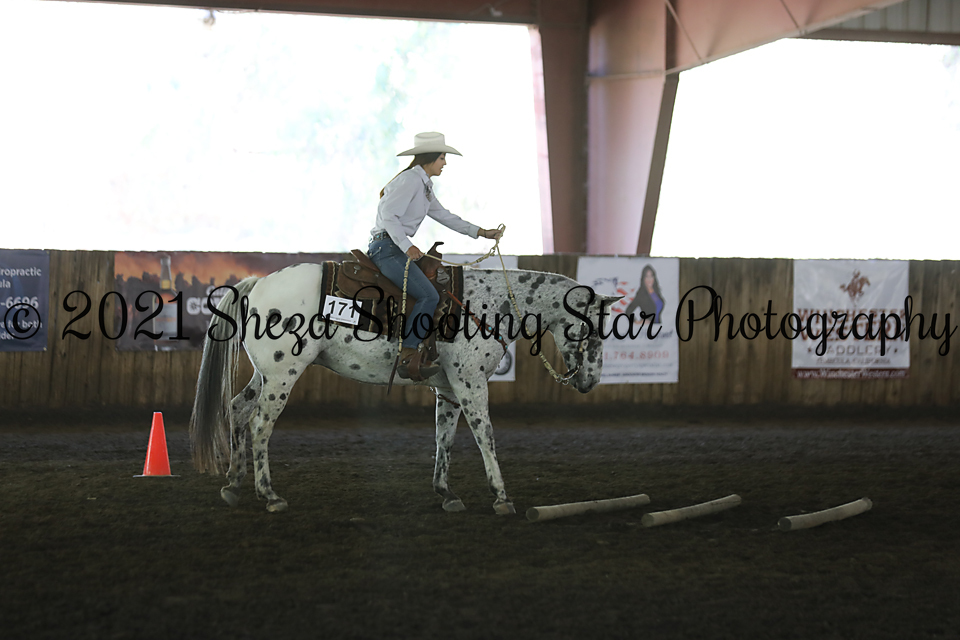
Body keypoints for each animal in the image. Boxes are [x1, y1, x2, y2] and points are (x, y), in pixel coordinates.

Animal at [189, 262, 618, 514]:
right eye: (594, 331)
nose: (590, 382)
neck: (488, 303)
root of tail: (258, 284)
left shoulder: (448, 388)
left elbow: (444, 437)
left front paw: (446, 493)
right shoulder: (470, 382)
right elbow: (486, 436)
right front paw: (500, 495)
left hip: (265, 375)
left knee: (237, 410)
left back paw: (233, 484)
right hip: (283, 375)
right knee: (261, 425)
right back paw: (269, 495)